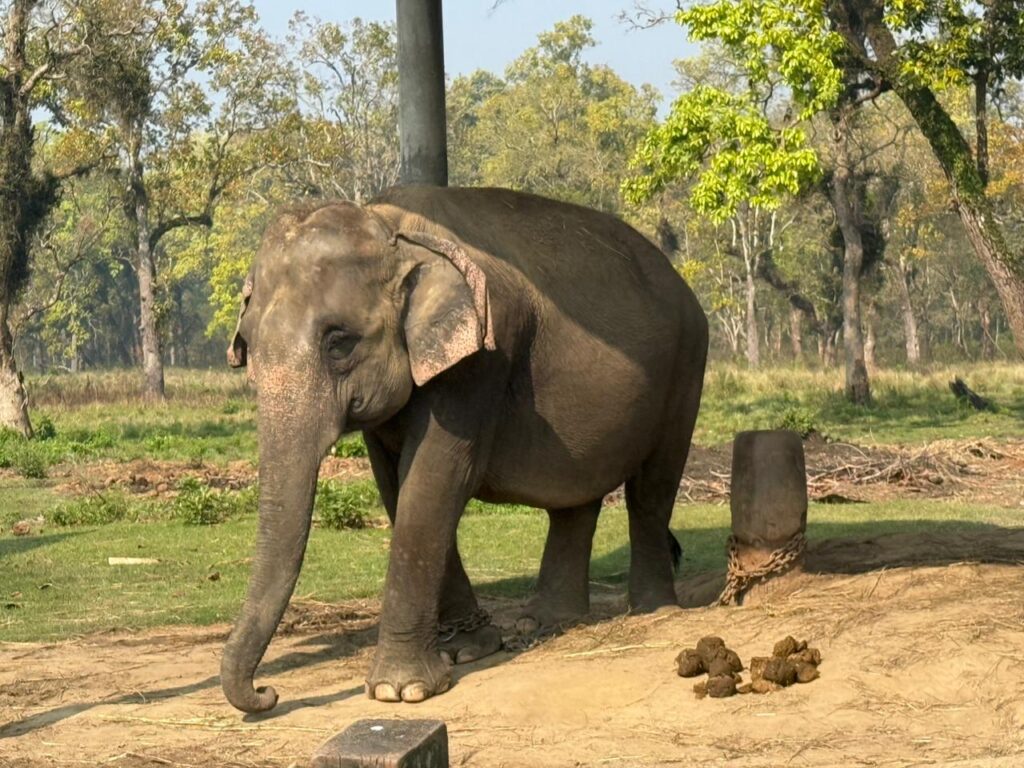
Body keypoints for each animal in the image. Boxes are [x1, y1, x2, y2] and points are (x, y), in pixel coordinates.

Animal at [221, 185, 708, 713]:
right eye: (247, 343)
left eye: (339, 342)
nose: (267, 692)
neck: (393, 228)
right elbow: (396, 488)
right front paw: (467, 651)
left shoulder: (481, 361)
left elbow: (432, 482)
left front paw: (400, 691)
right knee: (577, 499)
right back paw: (547, 622)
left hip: (688, 367)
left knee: (651, 489)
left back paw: (652, 612)